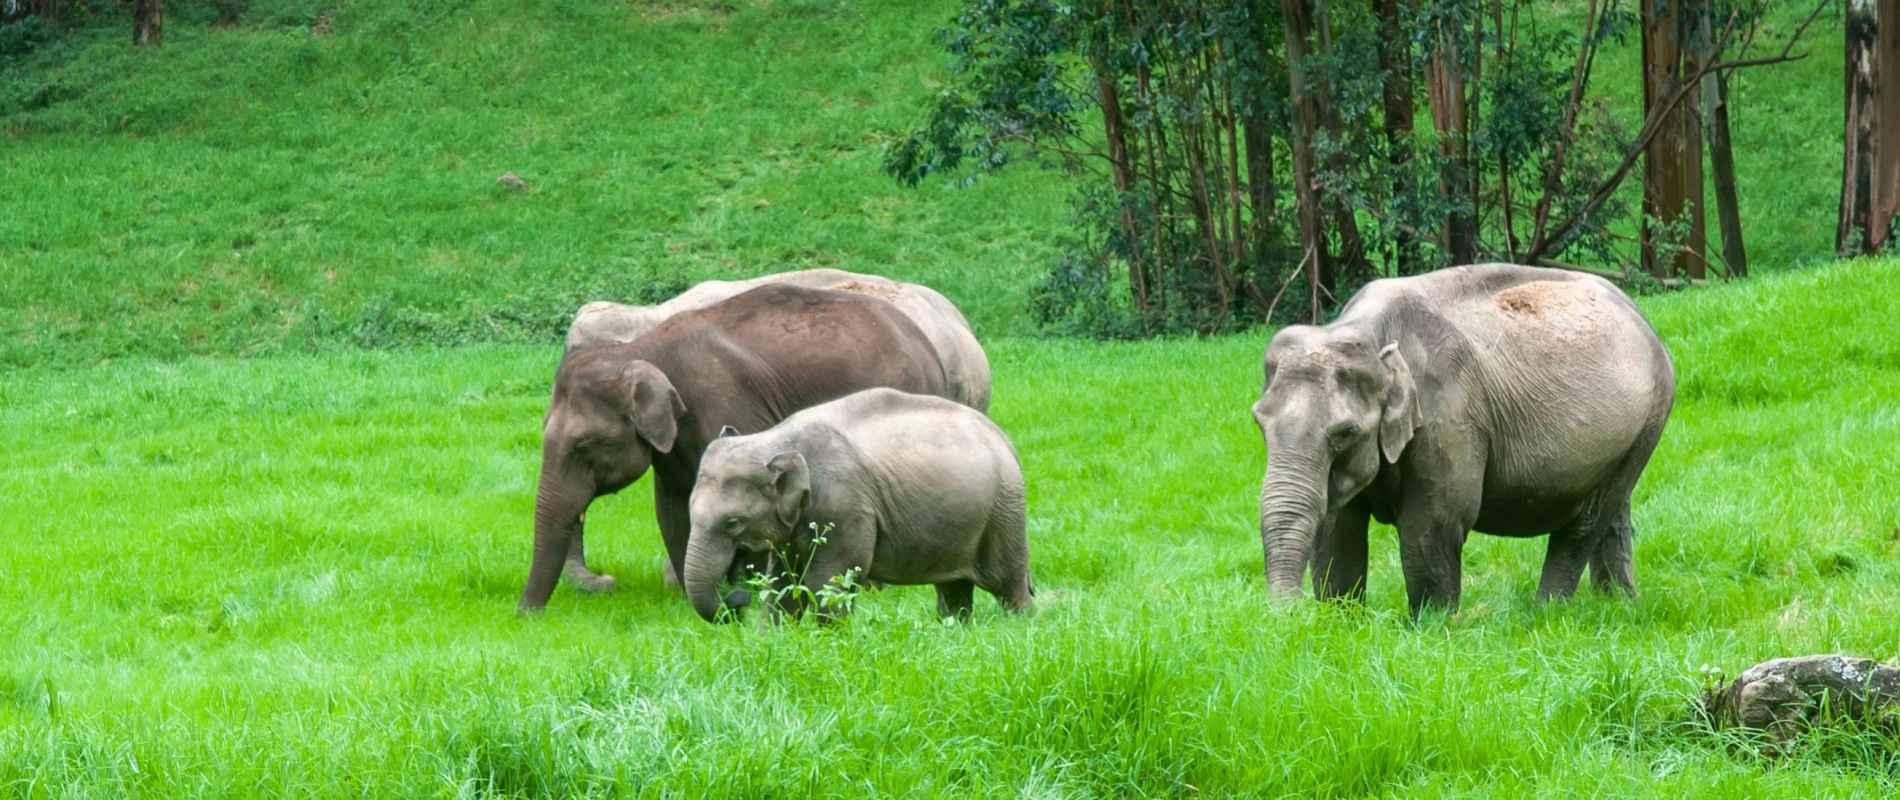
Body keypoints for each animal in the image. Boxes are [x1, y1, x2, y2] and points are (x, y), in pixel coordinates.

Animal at [520, 285, 950, 611]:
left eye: (585, 444)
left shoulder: (723, 406)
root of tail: (932, 351)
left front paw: (749, 589)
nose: (526, 615)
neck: (641, 349)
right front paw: (694, 604)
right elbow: (672, 508)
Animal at [684, 385, 1033, 623]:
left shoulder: (845, 504)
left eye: (733, 523)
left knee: (1007, 582)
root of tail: (1003, 437)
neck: (774, 438)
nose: (738, 600)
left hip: (1004, 508)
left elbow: (828, 581)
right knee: (953, 587)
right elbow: (784, 583)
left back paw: (1018, 625)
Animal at [1246, 264, 1679, 615]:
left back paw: (1544, 613)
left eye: (1345, 433)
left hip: (1650, 420)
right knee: (1613, 513)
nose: (1289, 618)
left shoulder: (1450, 416)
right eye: (1259, 423)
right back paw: (1618, 605)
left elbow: (1434, 522)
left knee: (1587, 519)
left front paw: (1431, 627)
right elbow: (1337, 528)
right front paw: (1340, 623)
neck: (1362, 330)